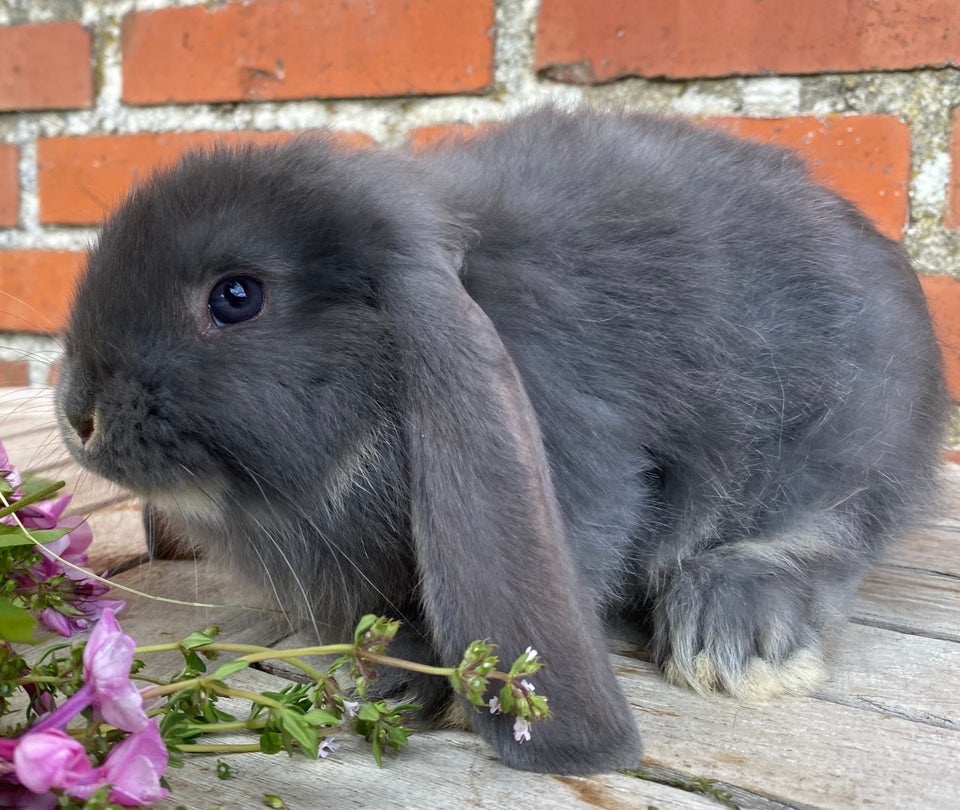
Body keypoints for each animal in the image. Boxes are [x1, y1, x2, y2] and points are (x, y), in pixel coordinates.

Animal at [56, 104, 948, 772]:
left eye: (236, 297)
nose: (77, 416)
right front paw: (366, 669)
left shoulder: (589, 472)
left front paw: (397, 680)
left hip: (843, 441)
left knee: (822, 532)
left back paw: (733, 637)